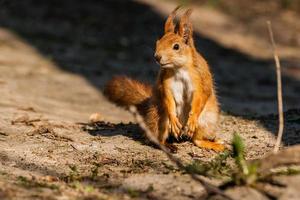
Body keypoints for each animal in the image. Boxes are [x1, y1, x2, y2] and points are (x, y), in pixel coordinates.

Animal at [104, 6, 224, 153]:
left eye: (176, 46)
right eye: (157, 42)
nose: (157, 57)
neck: (179, 69)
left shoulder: (198, 80)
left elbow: (199, 97)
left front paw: (192, 118)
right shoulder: (166, 83)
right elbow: (167, 96)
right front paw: (173, 119)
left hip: (207, 120)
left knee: (196, 140)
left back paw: (211, 143)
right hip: (160, 118)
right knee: (155, 138)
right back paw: (167, 145)